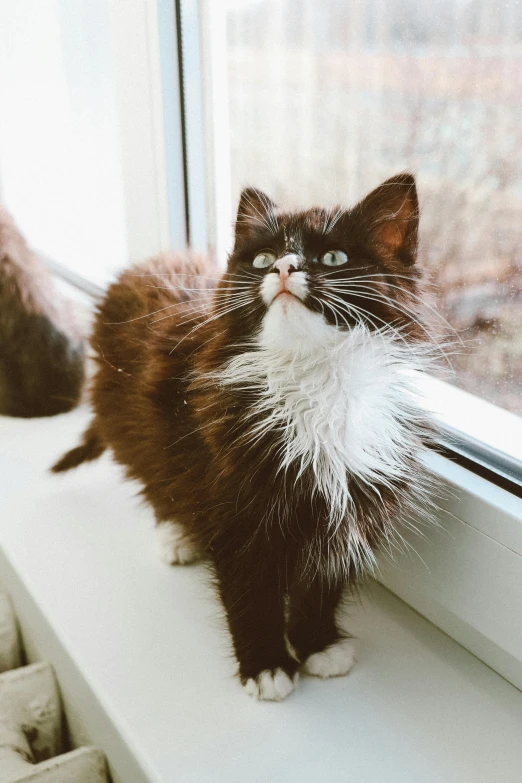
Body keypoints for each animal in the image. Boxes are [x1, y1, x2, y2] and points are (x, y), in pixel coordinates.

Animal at [51, 175, 434, 700]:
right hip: (134, 421)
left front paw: (318, 645)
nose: (283, 266)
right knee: (154, 472)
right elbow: (250, 591)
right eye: (261, 258)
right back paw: (175, 535)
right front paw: (267, 666)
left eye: (334, 257)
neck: (312, 379)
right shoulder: (230, 500)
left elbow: (321, 582)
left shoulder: (350, 501)